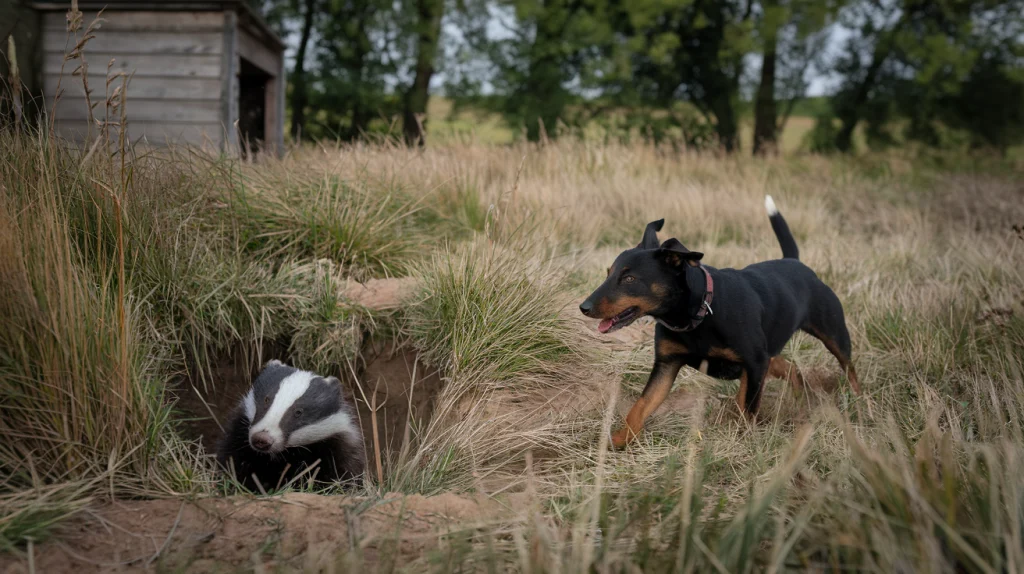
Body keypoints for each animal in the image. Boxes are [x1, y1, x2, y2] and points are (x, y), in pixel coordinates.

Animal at [581, 196, 860, 448]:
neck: (698, 314)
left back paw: (857, 400)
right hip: (769, 354)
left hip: (833, 335)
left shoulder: (754, 364)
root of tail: (794, 261)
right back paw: (800, 397)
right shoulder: (667, 365)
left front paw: (744, 441)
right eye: (609, 273)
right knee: (790, 368)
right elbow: (640, 406)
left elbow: (747, 407)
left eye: (629, 279)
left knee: (849, 368)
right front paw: (618, 440)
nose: (584, 307)